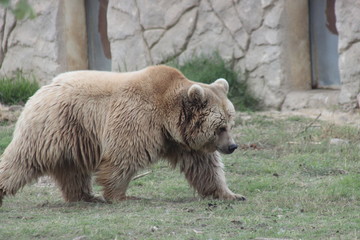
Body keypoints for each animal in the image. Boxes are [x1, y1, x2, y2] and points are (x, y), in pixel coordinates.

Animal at [0, 64, 245, 205]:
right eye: (220, 127)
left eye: (230, 122)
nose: (232, 146)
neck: (167, 118)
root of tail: (44, 88)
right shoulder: (137, 119)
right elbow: (122, 157)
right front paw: (122, 195)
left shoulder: (182, 143)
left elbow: (205, 167)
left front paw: (232, 194)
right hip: (54, 126)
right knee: (21, 160)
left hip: (74, 137)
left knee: (73, 171)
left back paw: (86, 196)